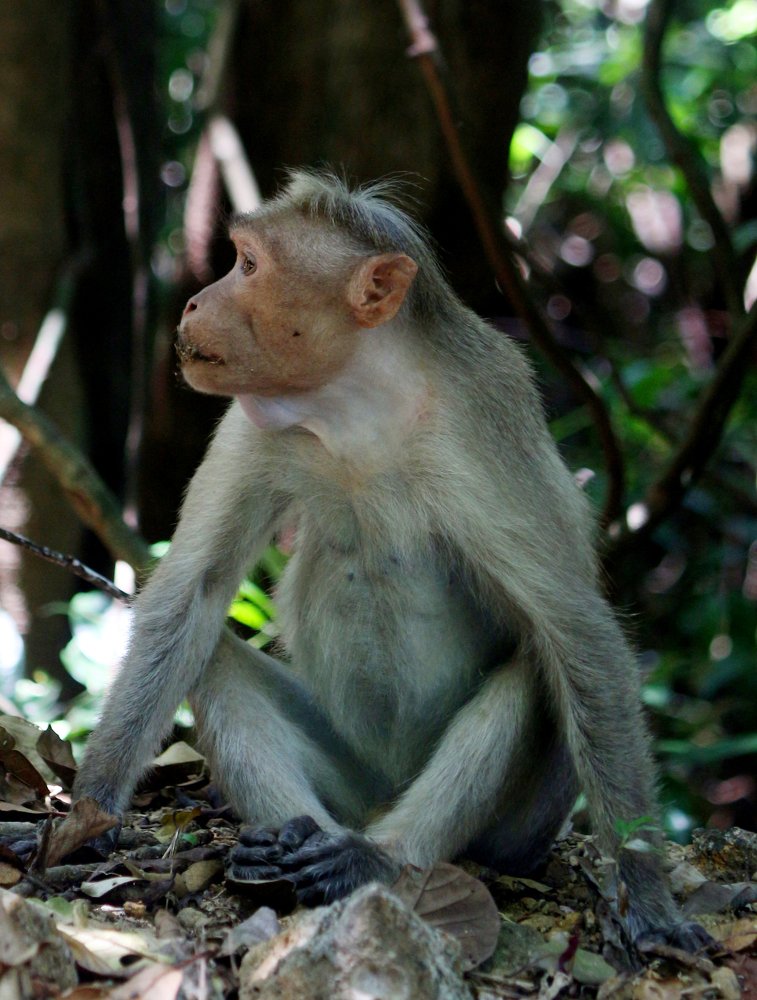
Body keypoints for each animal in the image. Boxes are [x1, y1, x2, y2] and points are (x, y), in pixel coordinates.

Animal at [73, 170, 710, 950]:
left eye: (247, 266)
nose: (195, 300)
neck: (355, 403)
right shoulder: (254, 417)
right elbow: (189, 595)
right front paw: (89, 815)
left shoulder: (484, 420)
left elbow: (576, 632)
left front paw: (648, 899)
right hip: (353, 779)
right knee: (214, 659)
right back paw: (287, 843)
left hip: (516, 826)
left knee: (536, 671)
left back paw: (376, 859)